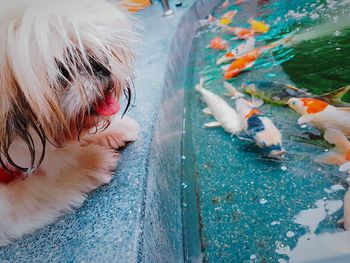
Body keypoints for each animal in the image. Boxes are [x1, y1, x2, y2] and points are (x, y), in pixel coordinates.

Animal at [0, 0, 139, 245]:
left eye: (96, 49)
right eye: (64, 69)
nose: (100, 64)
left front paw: (115, 129)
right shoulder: (5, 207)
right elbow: (37, 189)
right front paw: (88, 163)